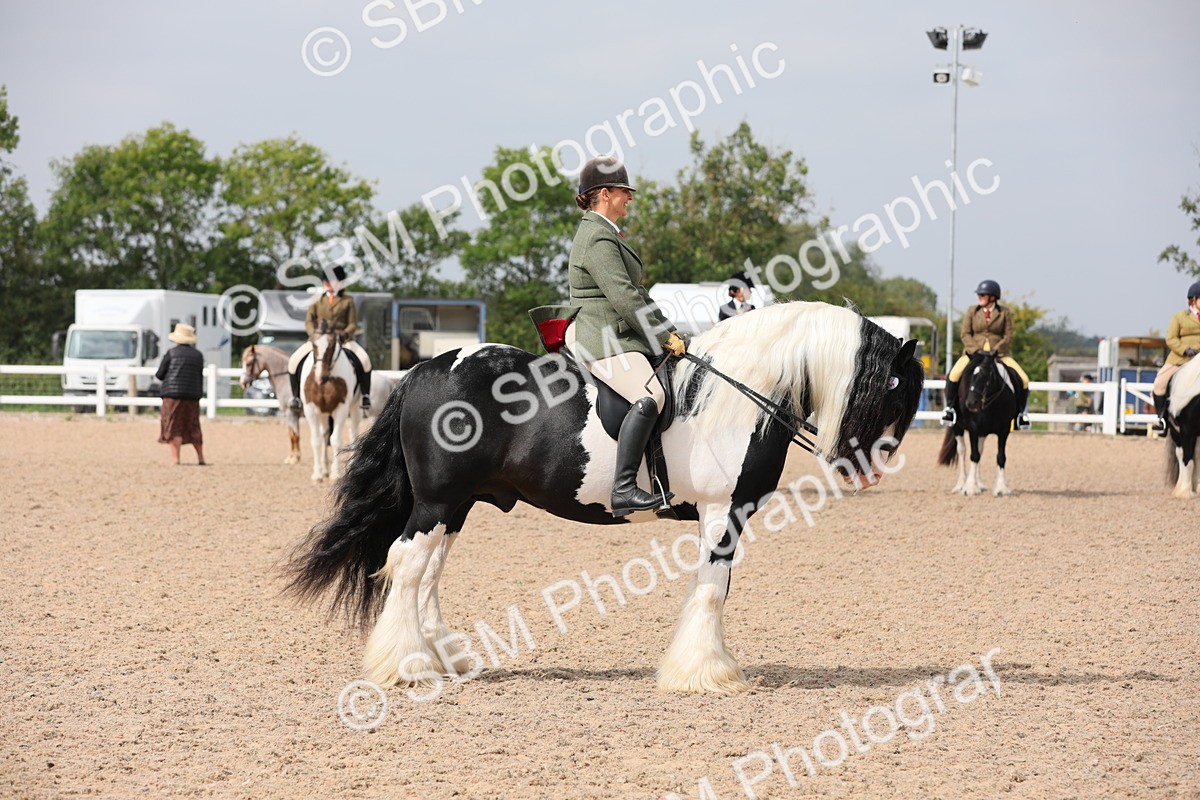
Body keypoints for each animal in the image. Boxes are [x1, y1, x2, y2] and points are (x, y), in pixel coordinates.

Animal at [301, 322, 362, 482]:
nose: (320, 378)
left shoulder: (341, 409)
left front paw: (336, 474)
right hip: (323, 413)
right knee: (324, 434)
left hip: (355, 407)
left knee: (353, 432)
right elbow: (316, 440)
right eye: (313, 345)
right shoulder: (311, 409)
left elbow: (335, 440)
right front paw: (317, 474)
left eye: (332, 345)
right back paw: (324, 469)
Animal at [937, 350, 1019, 496]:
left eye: (987, 376)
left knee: (980, 450)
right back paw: (961, 484)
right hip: (957, 427)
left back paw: (979, 483)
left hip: (983, 432)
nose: (971, 403)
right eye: (968, 376)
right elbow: (974, 456)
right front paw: (970, 487)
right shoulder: (973, 428)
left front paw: (1001, 488)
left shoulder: (1004, 430)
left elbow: (1000, 457)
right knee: (962, 451)